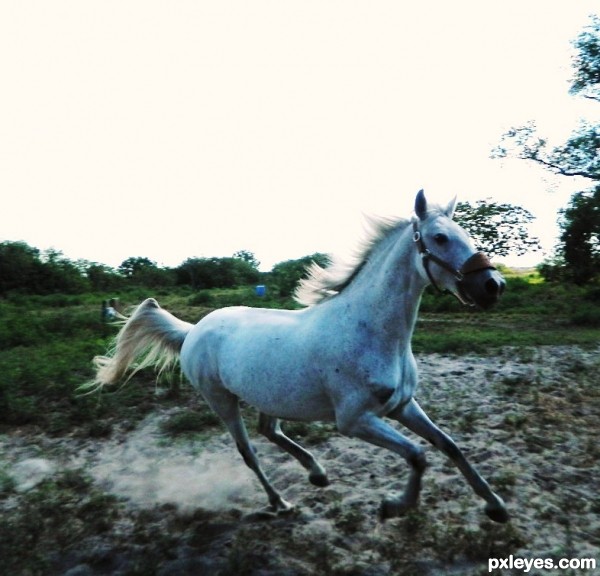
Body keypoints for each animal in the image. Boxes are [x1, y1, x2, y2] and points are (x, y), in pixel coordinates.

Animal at [91, 192, 508, 520]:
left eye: (467, 235)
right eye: (440, 238)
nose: (493, 286)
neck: (370, 332)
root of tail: (193, 330)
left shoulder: (403, 406)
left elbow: (449, 446)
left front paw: (496, 507)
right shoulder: (355, 421)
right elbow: (418, 455)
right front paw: (393, 506)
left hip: (270, 395)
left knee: (269, 431)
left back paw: (317, 474)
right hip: (221, 401)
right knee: (249, 452)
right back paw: (280, 502)